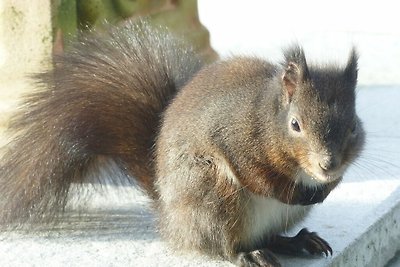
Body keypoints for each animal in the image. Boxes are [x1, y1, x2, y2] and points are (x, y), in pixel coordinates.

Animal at [0, 19, 364, 266]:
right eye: (295, 125)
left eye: (353, 127)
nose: (328, 165)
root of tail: (171, 219)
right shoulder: (233, 137)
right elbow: (256, 176)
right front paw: (293, 191)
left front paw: (327, 188)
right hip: (213, 193)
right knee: (222, 245)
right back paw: (249, 254)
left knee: (269, 236)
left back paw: (296, 242)